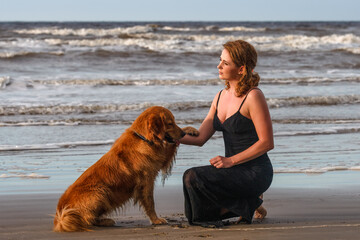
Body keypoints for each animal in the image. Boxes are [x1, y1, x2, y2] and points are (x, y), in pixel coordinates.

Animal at [53, 106, 198, 232]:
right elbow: (150, 202)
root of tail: (60, 215)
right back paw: (105, 221)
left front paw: (191, 129)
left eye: (174, 122)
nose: (182, 134)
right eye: (170, 123)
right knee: (87, 220)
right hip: (100, 191)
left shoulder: (161, 159)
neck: (144, 138)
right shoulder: (146, 181)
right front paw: (156, 220)